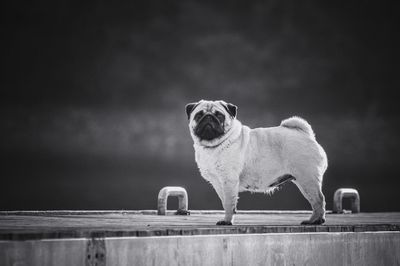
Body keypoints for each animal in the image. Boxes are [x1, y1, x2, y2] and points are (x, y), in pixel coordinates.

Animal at [186, 101, 326, 225]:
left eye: (219, 115)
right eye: (199, 115)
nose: (208, 117)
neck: (213, 146)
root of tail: (305, 134)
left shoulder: (228, 180)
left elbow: (228, 203)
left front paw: (227, 221)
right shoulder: (217, 183)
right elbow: (225, 202)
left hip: (307, 179)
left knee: (318, 200)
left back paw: (315, 221)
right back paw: (316, 220)